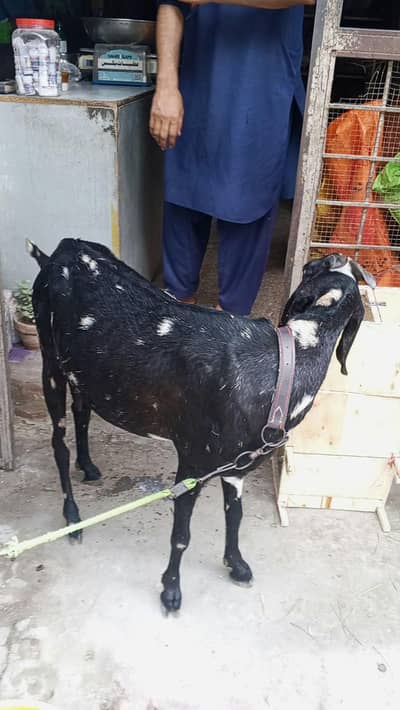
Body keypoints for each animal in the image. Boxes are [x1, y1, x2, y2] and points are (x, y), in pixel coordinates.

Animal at [29, 239, 375, 612]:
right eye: (310, 268)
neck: (279, 367)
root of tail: (62, 250)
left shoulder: (236, 466)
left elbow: (235, 516)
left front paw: (236, 565)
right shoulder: (193, 461)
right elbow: (182, 535)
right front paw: (170, 591)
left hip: (82, 373)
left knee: (81, 412)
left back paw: (89, 466)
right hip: (50, 361)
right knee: (58, 444)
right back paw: (72, 517)